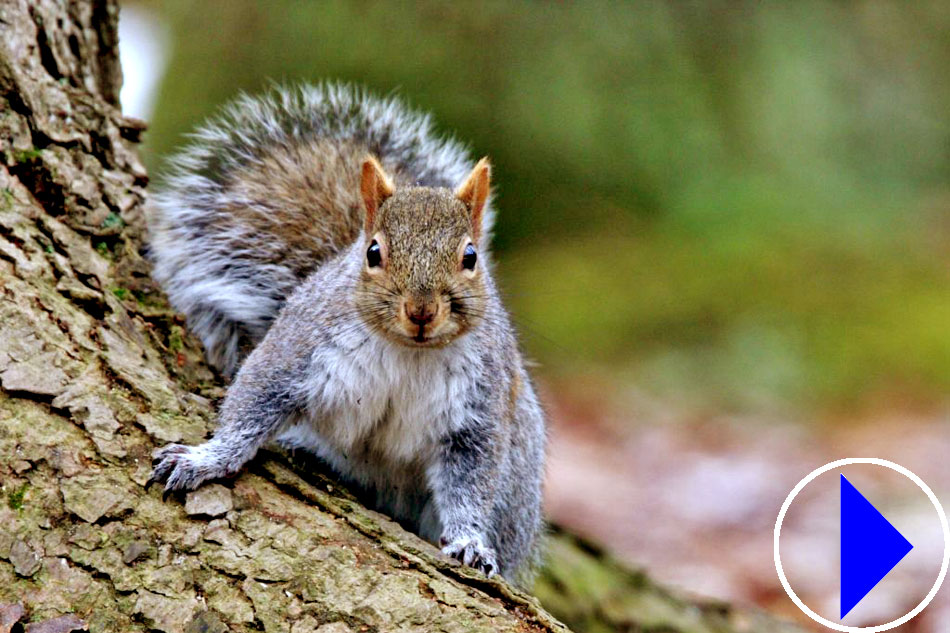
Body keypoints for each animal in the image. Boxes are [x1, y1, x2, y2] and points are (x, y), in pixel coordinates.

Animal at [149, 84, 552, 584]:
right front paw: (205, 460)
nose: (421, 310)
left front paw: (469, 543)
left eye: (471, 257)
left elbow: (470, 481)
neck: (408, 351)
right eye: (373, 252)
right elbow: (251, 402)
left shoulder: (479, 405)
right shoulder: (299, 347)